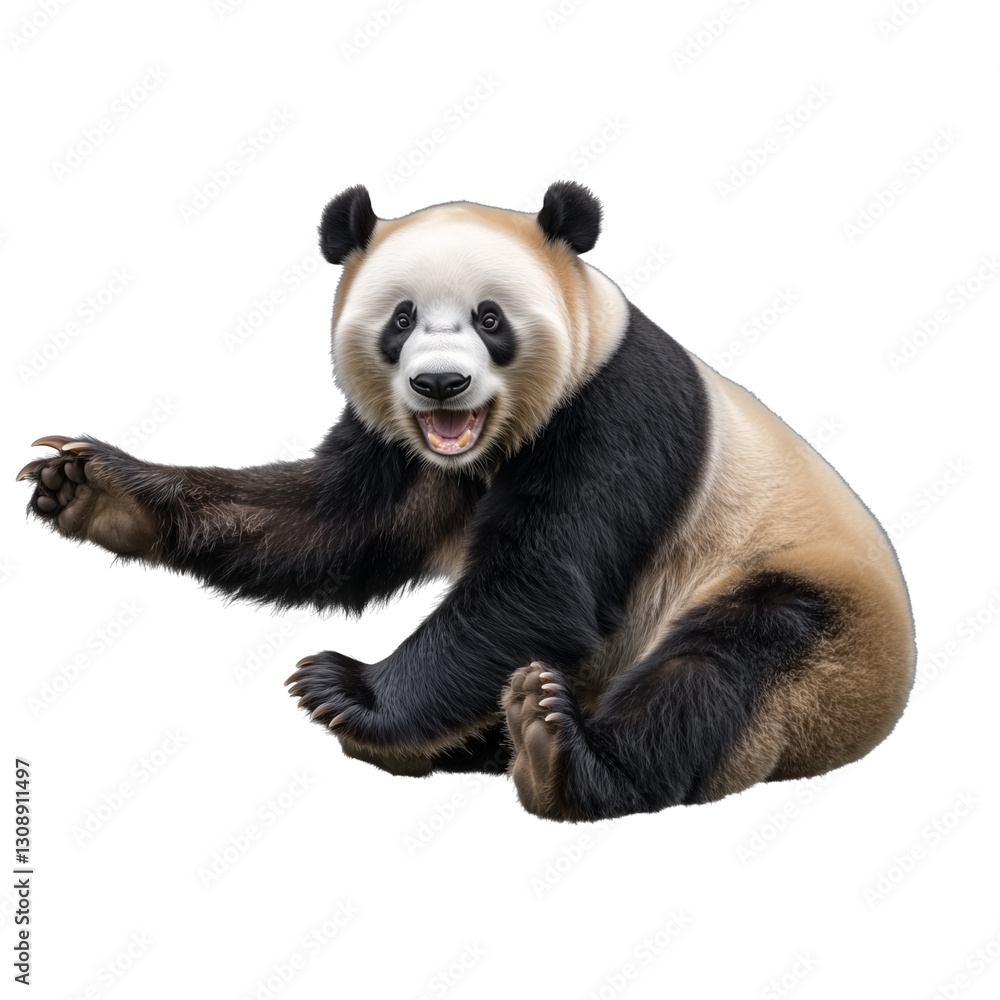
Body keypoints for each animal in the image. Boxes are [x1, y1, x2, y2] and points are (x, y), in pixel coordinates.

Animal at [18, 181, 915, 822]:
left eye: (490, 319)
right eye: (401, 319)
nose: (440, 383)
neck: (484, 445)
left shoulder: (616, 408)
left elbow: (539, 581)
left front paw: (349, 689)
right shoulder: (400, 443)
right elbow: (330, 528)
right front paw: (95, 486)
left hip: (816, 619)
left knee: (724, 667)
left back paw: (558, 758)